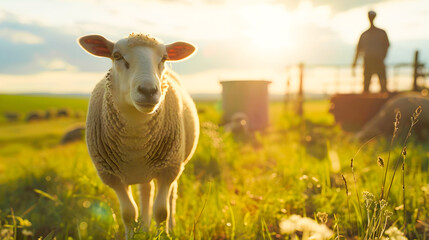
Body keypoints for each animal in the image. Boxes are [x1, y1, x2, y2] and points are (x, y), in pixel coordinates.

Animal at [78, 32, 199, 238]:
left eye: (164, 58)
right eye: (117, 56)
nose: (148, 90)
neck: (135, 141)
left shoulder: (168, 170)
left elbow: (162, 211)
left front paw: (163, 235)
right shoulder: (112, 177)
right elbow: (128, 214)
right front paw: (134, 233)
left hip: (175, 163)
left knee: (170, 196)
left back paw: (170, 227)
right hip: (144, 171)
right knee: (146, 191)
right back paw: (144, 227)